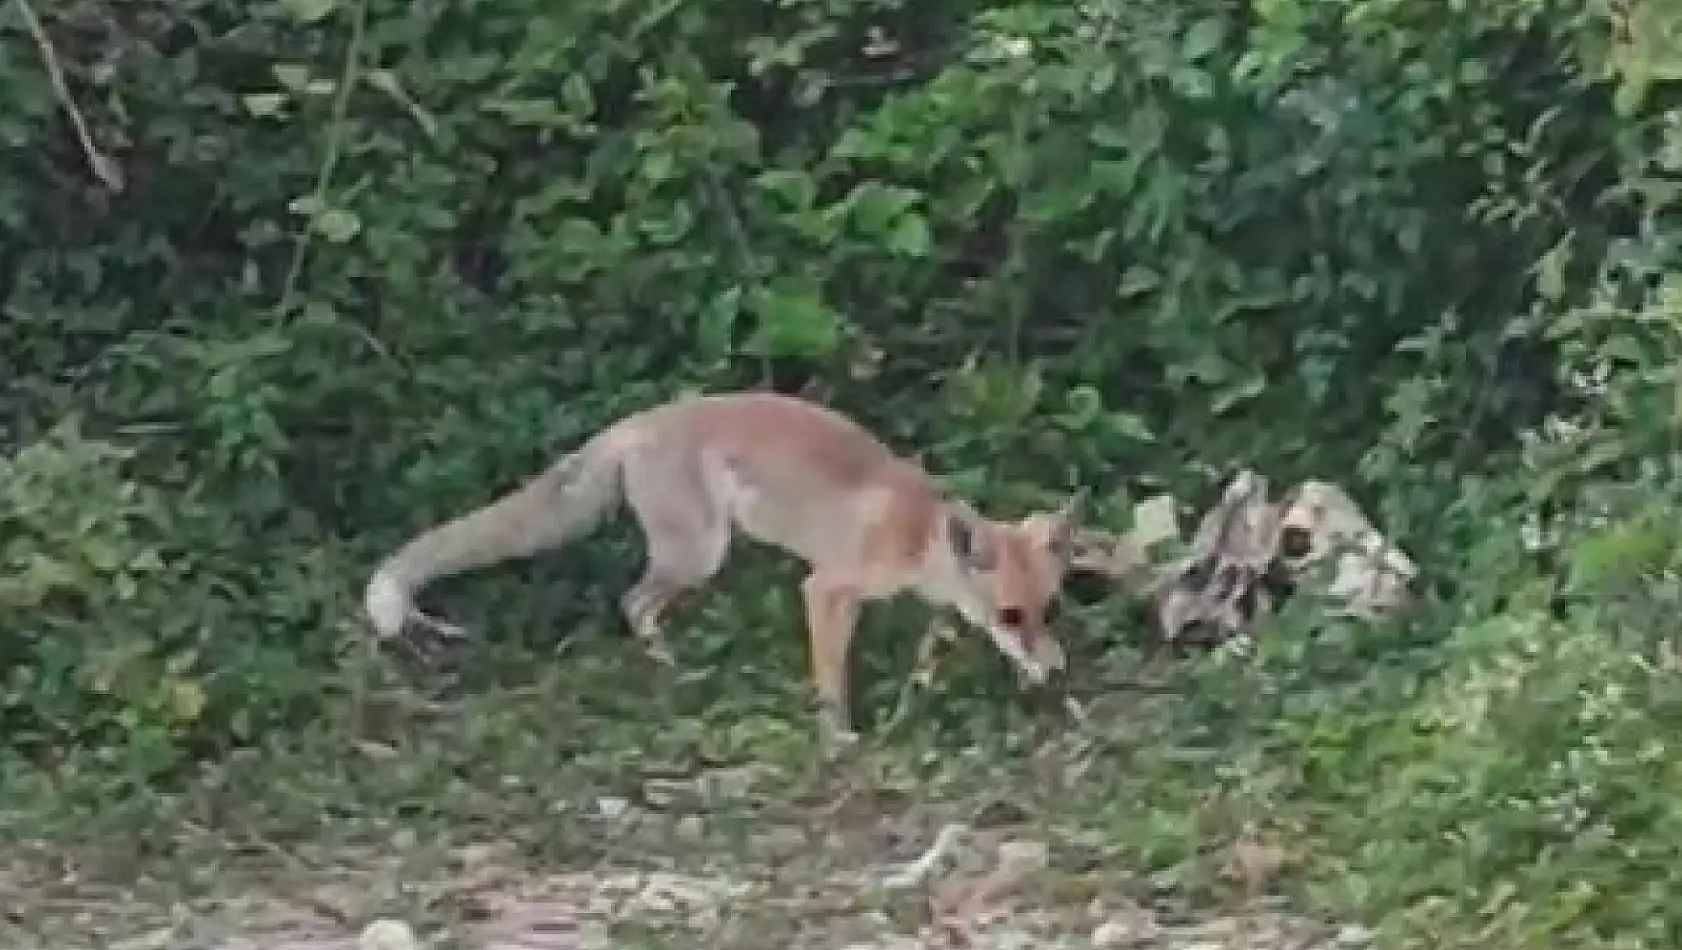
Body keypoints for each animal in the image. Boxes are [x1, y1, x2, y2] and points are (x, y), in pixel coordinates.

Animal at [361, 388, 1083, 729]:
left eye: (1047, 611)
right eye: (1012, 614)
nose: (1058, 669)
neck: (917, 537)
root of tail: (635, 423)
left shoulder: (939, 608)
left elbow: (930, 659)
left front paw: (913, 706)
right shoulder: (827, 589)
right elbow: (831, 681)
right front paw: (838, 739)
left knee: (636, 606)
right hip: (699, 555)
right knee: (632, 602)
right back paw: (670, 674)